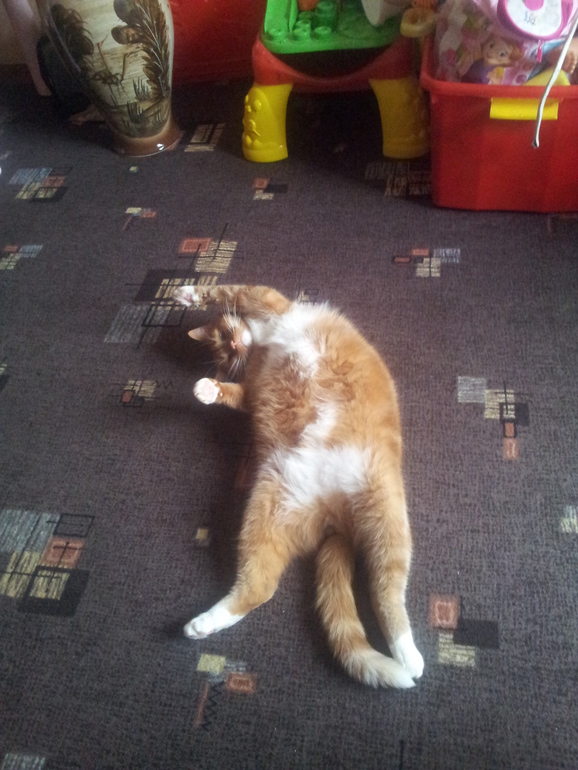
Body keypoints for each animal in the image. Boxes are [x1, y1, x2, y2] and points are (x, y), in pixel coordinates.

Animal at [173, 284, 424, 688]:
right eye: (224, 351)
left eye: (225, 337)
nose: (236, 344)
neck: (260, 341)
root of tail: (335, 518)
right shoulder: (251, 390)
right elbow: (233, 394)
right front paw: (208, 390)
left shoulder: (267, 300)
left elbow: (229, 290)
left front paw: (186, 293)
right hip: (266, 511)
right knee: (261, 587)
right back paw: (203, 624)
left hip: (386, 517)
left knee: (386, 593)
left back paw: (408, 655)